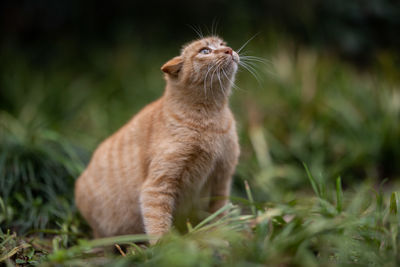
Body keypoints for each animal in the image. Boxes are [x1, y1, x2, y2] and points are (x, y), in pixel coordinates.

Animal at [75, 36, 241, 244]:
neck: (211, 117)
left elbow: (218, 214)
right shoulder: (158, 185)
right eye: (205, 51)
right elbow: (158, 223)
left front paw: (221, 237)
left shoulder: (221, 178)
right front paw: (165, 248)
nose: (229, 50)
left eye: (222, 44)